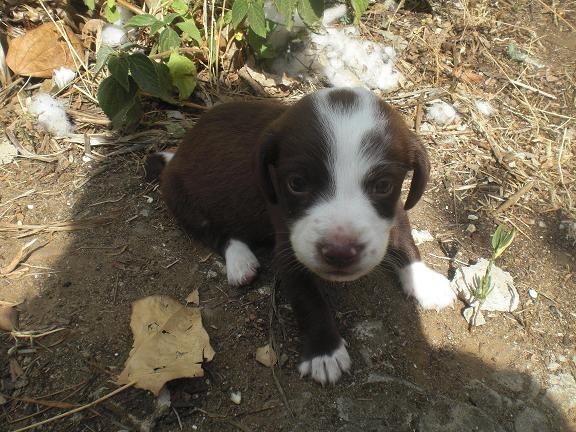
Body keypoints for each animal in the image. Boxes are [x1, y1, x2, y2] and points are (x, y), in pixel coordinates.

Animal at [146, 87, 456, 384]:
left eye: (383, 185)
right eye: (296, 183)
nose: (339, 252)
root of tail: (178, 151)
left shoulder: (394, 210)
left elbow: (405, 240)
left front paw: (423, 279)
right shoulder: (288, 245)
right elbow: (309, 299)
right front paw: (324, 352)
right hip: (180, 197)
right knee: (216, 233)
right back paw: (240, 261)